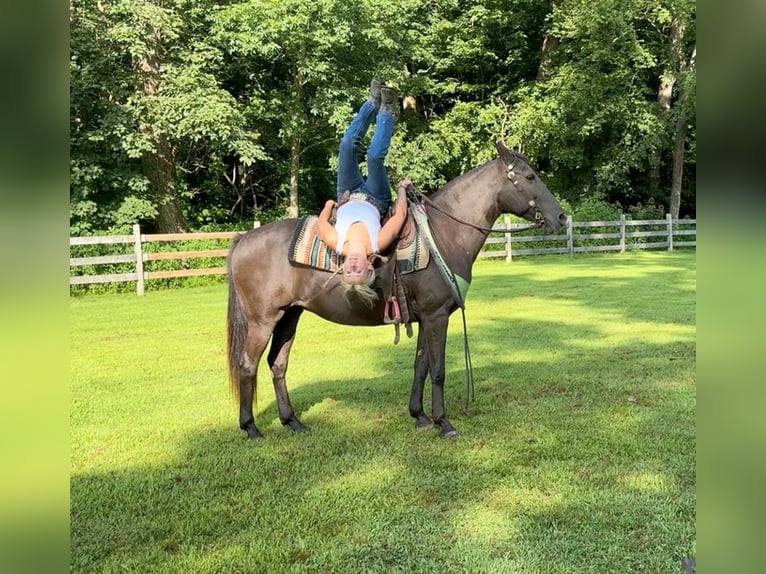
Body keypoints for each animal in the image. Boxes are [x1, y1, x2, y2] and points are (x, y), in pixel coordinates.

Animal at [227, 141, 568, 439]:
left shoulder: (426, 318)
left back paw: (293, 422)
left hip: (289, 316)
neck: (442, 234)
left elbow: (421, 366)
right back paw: (251, 428)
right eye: (529, 177)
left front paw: (420, 416)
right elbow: (438, 370)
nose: (562, 216)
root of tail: (244, 238)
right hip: (263, 320)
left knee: (277, 364)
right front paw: (444, 423)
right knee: (247, 365)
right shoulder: (436, 316)